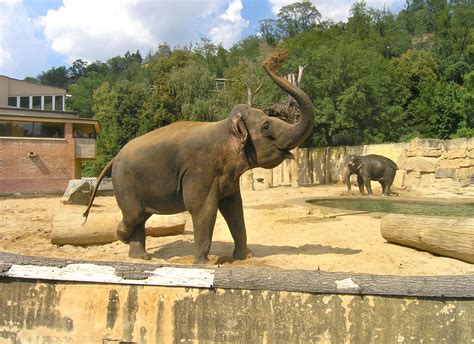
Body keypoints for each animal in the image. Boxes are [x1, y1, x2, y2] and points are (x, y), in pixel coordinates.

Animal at [83, 50, 314, 264]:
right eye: (266, 126)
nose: (272, 60)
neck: (225, 129)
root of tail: (114, 158)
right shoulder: (201, 170)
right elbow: (203, 208)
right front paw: (207, 264)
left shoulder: (228, 178)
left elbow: (234, 208)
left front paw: (246, 258)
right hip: (124, 183)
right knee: (134, 215)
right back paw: (124, 238)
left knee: (141, 217)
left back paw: (142, 257)